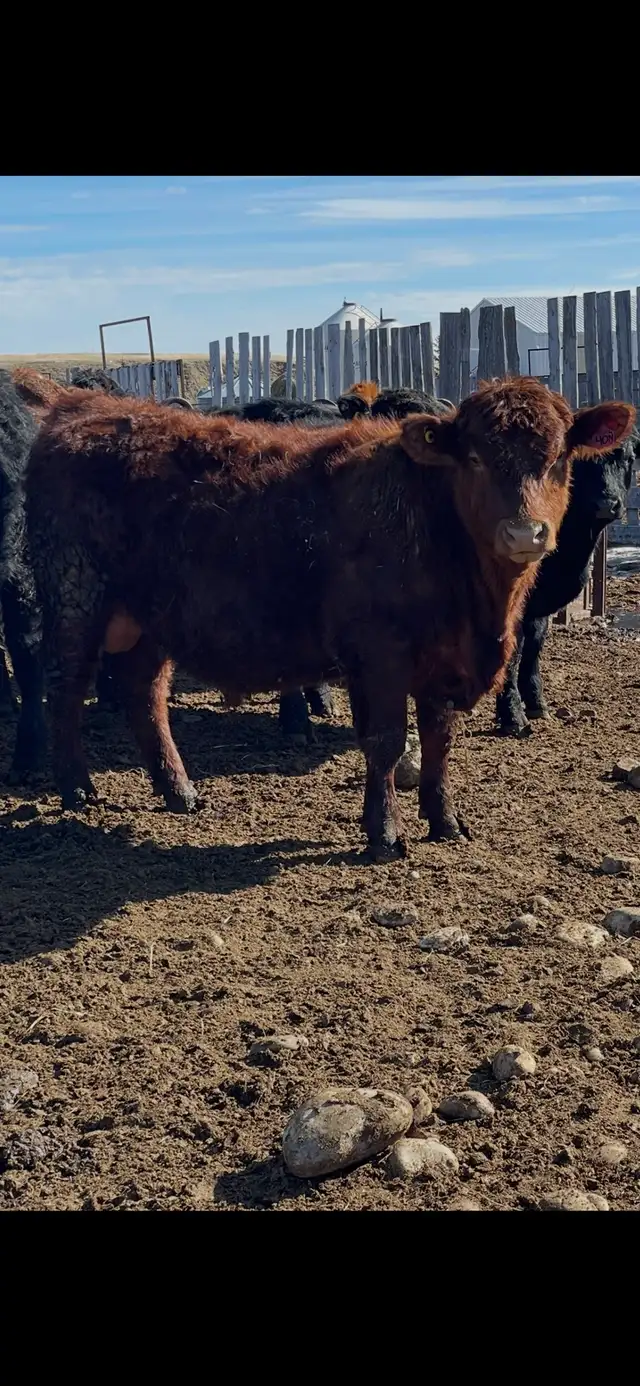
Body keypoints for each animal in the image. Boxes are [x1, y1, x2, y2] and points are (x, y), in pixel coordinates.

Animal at [495, 429, 640, 736]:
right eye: (580, 461)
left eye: (628, 456)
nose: (606, 504)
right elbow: (513, 652)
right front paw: (512, 716)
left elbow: (534, 643)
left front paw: (536, 702)